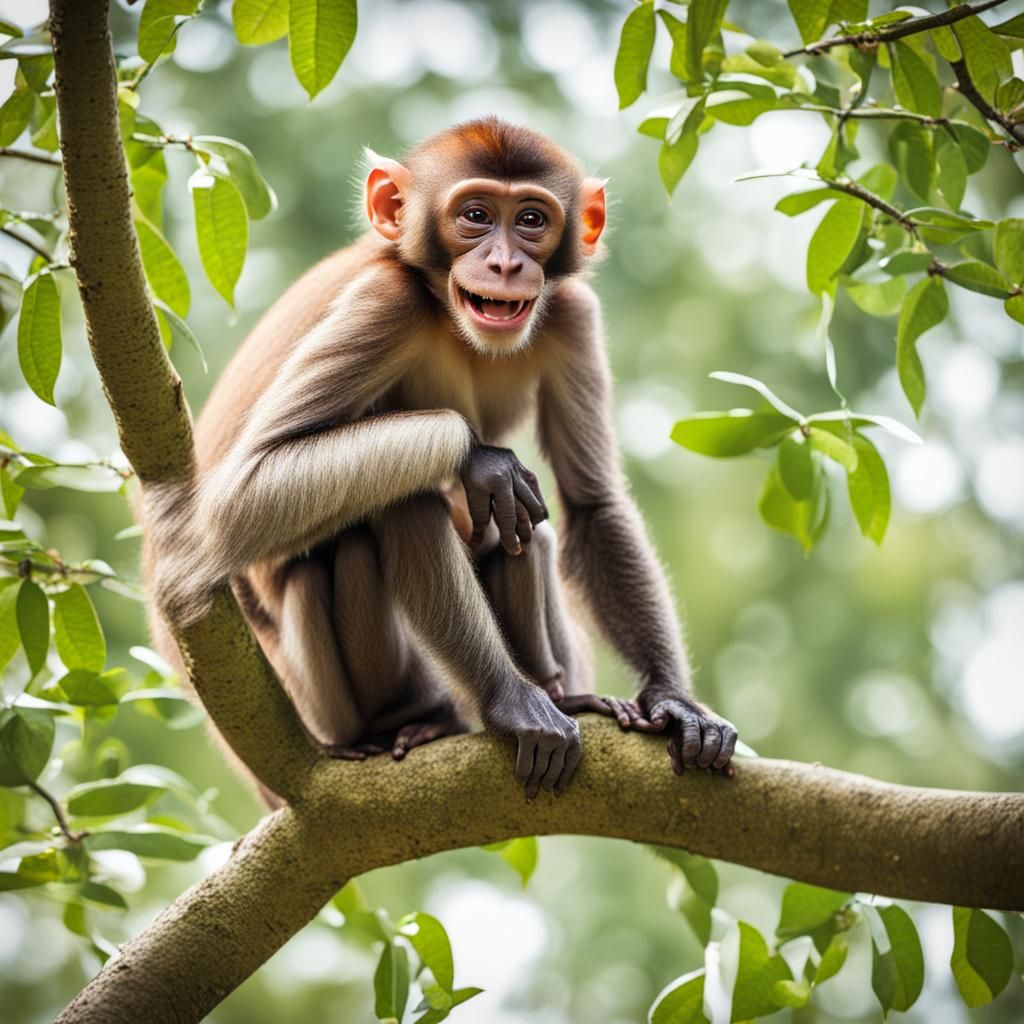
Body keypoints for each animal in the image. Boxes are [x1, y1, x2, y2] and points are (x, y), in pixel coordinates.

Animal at [146, 117, 738, 803]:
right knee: (395, 505)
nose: (505, 264)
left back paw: (559, 691)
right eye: (475, 215)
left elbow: (590, 503)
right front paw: (482, 458)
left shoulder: (571, 315)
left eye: (531, 219)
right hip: (323, 703)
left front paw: (673, 700)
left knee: (518, 528)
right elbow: (240, 494)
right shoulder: (386, 301)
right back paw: (441, 712)